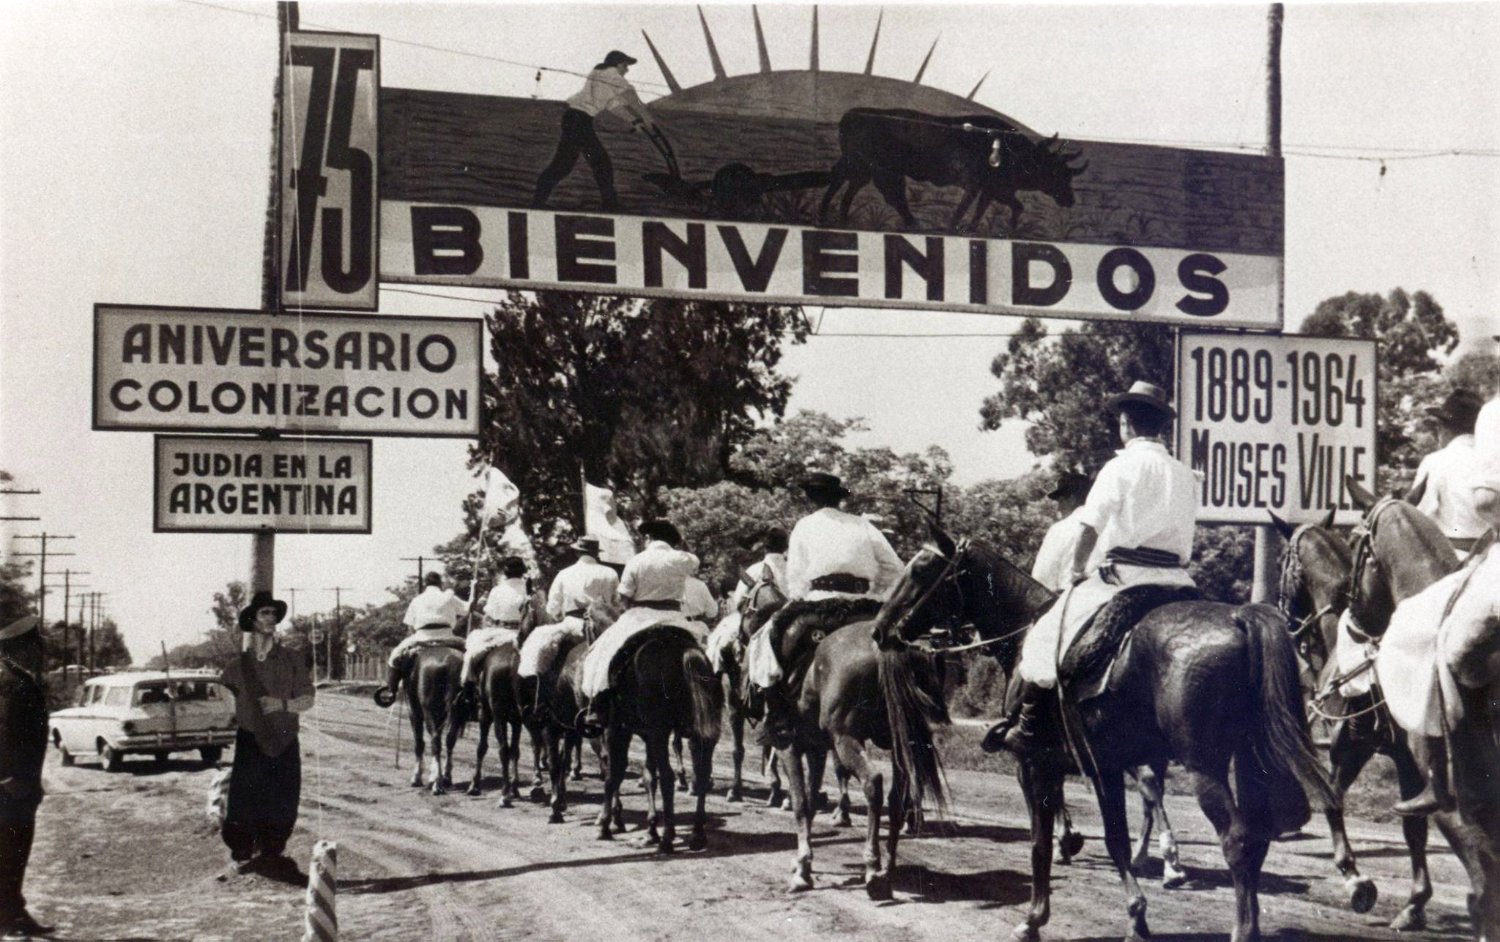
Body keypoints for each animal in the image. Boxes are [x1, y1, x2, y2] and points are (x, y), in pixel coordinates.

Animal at [594, 627, 723, 852]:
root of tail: (685, 652)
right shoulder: (648, 737)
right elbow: (648, 777)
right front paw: (651, 830)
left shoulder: (618, 729)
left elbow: (613, 774)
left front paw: (605, 825)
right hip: (702, 737)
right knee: (702, 775)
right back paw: (697, 834)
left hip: (657, 732)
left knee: (668, 777)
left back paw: (667, 838)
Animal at [876, 534, 1344, 942]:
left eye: (920, 570)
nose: (881, 628)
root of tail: (1239, 617)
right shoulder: (1105, 766)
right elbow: (1116, 838)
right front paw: (1136, 917)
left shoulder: (1035, 765)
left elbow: (1040, 844)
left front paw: (1034, 919)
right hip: (1250, 761)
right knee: (1258, 836)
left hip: (1204, 767)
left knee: (1238, 840)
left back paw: (1242, 929)